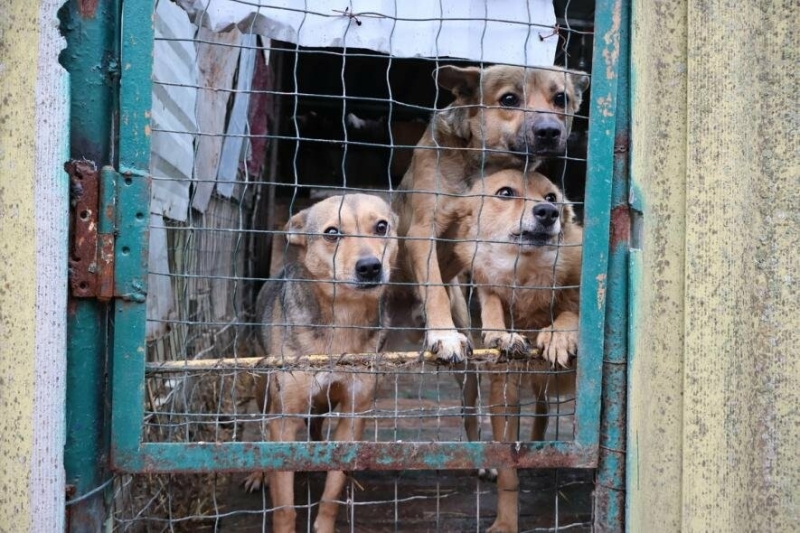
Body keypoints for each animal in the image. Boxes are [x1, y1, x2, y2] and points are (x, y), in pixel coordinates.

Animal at [242, 193, 396, 532]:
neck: (343, 319)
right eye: (332, 233)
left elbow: (332, 492)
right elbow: (284, 505)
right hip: (263, 391)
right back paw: (259, 472)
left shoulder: (353, 412)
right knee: (263, 428)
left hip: (324, 401)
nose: (370, 267)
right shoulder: (284, 419)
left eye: (382, 227)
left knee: (315, 425)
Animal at [392, 62, 588, 362]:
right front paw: (445, 335)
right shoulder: (422, 232)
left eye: (561, 99)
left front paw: (501, 334)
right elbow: (434, 289)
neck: (482, 166)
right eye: (508, 99)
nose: (550, 131)